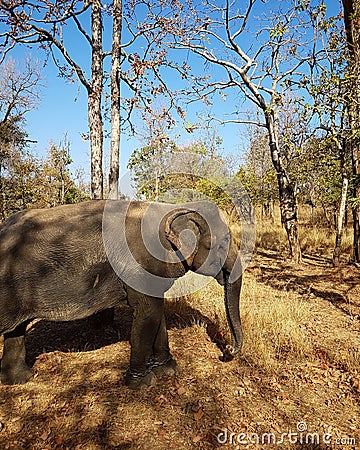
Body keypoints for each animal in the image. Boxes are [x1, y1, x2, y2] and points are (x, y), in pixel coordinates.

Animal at [0, 199, 243, 388]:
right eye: (223, 243)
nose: (226, 351)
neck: (167, 208)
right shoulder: (140, 266)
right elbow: (148, 314)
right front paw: (143, 383)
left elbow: (157, 313)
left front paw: (169, 369)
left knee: (15, 331)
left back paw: (21, 379)